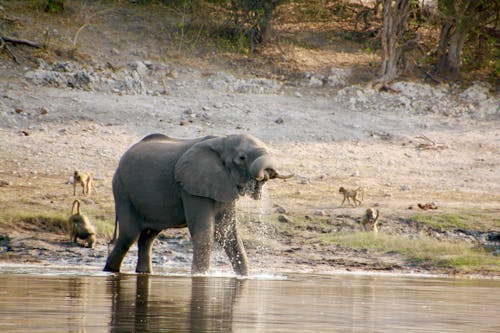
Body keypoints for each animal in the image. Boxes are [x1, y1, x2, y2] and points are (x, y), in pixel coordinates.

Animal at [102, 133, 290, 274]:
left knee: (148, 237)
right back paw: (110, 271)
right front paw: (200, 276)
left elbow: (228, 234)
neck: (222, 141)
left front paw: (244, 277)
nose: (267, 173)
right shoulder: (191, 187)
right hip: (122, 189)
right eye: (242, 158)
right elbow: (206, 233)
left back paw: (143, 272)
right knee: (129, 235)